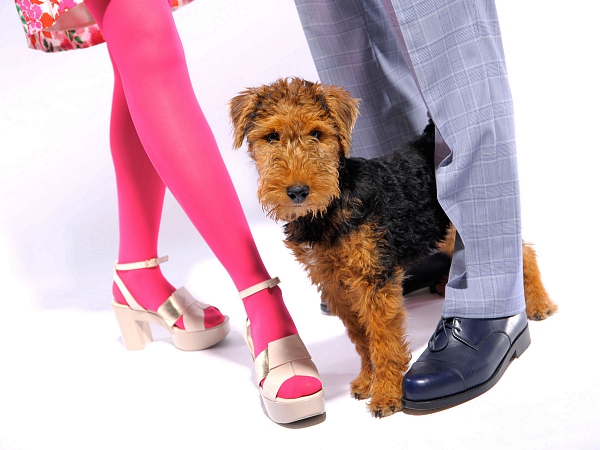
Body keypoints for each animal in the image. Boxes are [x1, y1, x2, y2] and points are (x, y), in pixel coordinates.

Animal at [230, 78, 556, 418]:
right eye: (271, 136)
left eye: (317, 133)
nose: (297, 191)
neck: (330, 209)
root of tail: (429, 140)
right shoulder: (334, 283)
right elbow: (361, 337)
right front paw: (367, 380)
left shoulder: (373, 279)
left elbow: (383, 339)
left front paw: (387, 394)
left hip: (457, 224)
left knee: (522, 251)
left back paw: (538, 304)